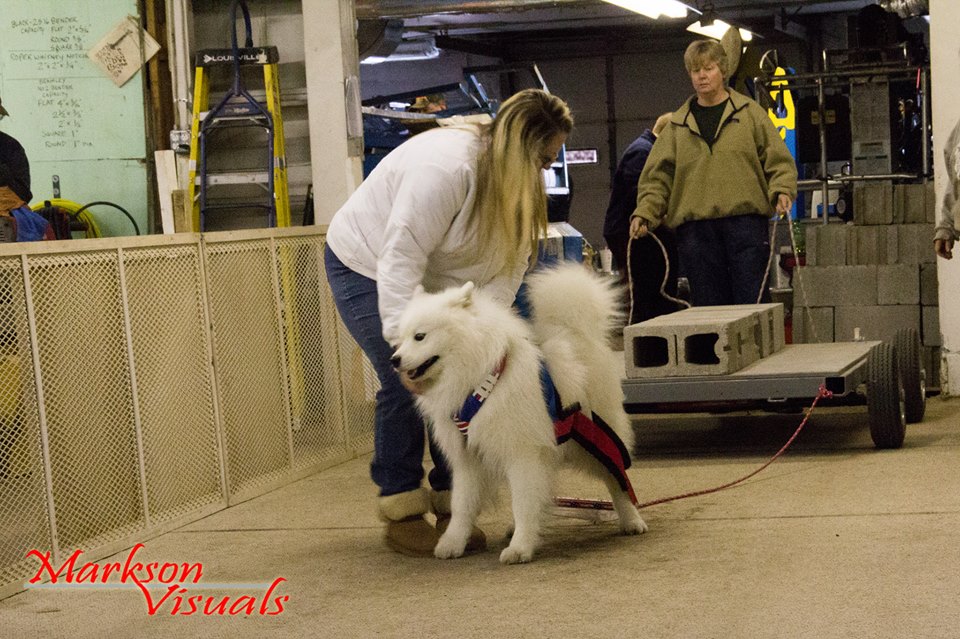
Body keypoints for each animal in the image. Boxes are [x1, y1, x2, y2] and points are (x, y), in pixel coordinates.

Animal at [388, 264, 644, 564]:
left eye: (420, 336)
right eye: (400, 338)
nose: (394, 360)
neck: (480, 381)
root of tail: (576, 332)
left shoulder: (522, 453)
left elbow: (522, 502)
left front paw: (520, 547)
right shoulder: (468, 458)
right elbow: (462, 505)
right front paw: (452, 542)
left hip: (595, 437)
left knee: (617, 479)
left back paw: (631, 521)